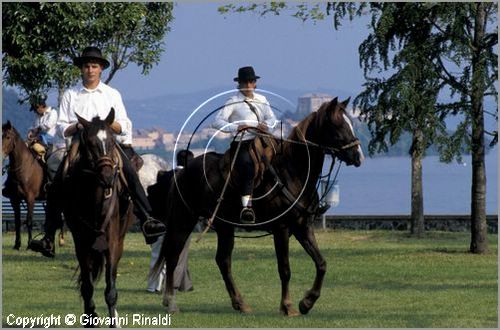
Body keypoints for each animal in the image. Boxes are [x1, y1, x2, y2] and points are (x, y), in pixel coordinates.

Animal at [61, 109, 134, 326]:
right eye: (91, 143)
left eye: (111, 141)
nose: (108, 177)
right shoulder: (81, 242)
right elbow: (87, 287)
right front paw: (90, 317)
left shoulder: (111, 242)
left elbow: (110, 290)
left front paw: (113, 321)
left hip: (119, 241)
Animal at [157, 96, 364, 314]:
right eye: (338, 125)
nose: (358, 156)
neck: (292, 172)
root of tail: (181, 171)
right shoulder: (281, 228)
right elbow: (285, 269)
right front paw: (287, 306)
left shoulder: (302, 226)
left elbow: (321, 263)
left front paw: (307, 302)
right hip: (183, 221)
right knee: (173, 256)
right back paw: (171, 301)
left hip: (224, 227)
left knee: (223, 261)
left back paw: (239, 302)